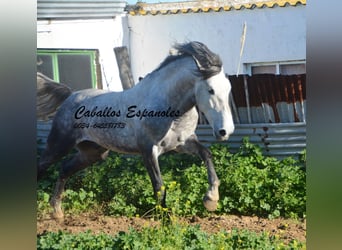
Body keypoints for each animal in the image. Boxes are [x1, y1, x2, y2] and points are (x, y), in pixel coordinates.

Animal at [38, 42, 235, 220]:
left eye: (228, 88)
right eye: (210, 90)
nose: (225, 131)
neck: (169, 109)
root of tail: (70, 96)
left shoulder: (183, 144)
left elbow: (206, 154)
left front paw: (211, 199)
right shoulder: (148, 151)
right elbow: (159, 186)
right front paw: (166, 221)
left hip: (93, 153)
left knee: (64, 169)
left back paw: (57, 213)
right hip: (59, 145)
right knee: (43, 166)